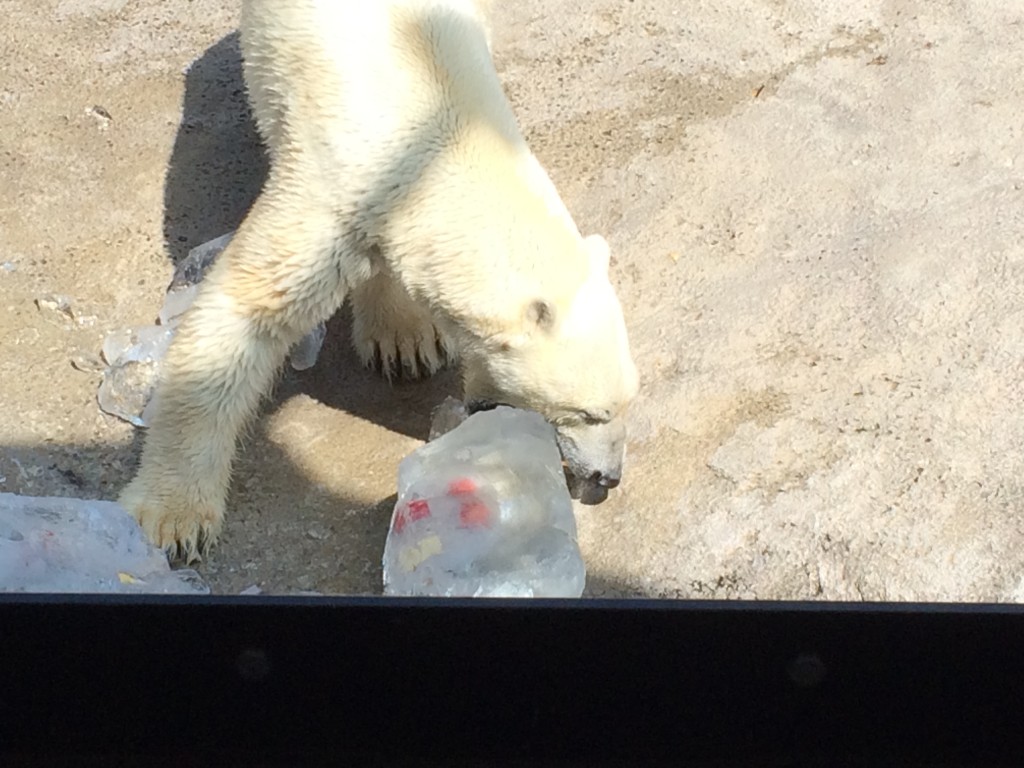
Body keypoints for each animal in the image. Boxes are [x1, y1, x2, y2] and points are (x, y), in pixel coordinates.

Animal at [117, 0, 630, 565]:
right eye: (589, 412)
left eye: (626, 402)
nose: (608, 478)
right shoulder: (335, 187)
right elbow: (248, 306)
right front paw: (173, 520)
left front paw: (404, 337)